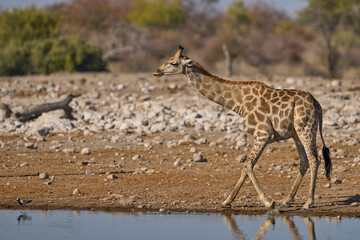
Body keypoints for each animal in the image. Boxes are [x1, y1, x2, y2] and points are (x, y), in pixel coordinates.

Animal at [153, 45, 332, 210]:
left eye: (174, 63)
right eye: (168, 59)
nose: (156, 72)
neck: (239, 103)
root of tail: (318, 105)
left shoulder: (263, 133)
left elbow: (247, 165)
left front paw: (268, 202)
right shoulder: (263, 136)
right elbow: (247, 166)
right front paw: (227, 201)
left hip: (306, 129)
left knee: (314, 160)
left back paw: (308, 202)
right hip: (297, 133)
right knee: (304, 161)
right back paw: (287, 200)